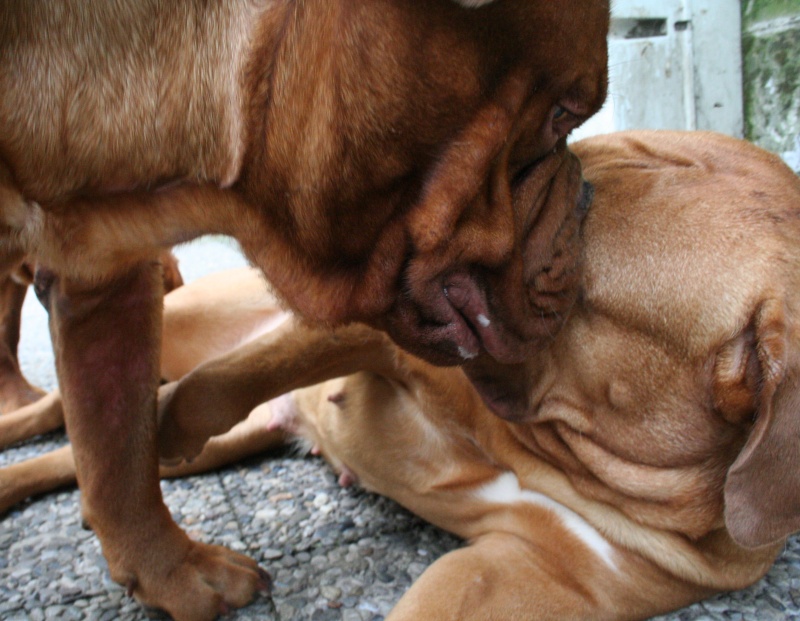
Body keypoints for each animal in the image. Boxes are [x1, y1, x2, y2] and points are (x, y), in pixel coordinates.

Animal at [0, 3, 608, 616]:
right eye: (561, 116)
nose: (585, 189)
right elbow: (116, 441)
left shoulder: (105, 283)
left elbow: (117, 456)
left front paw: (171, 571)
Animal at [3, 128, 796, 616]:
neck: (571, 454)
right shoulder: (385, 339)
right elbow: (258, 363)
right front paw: (172, 420)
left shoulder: (522, 573)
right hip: (175, 325)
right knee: (81, 414)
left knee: (82, 465)